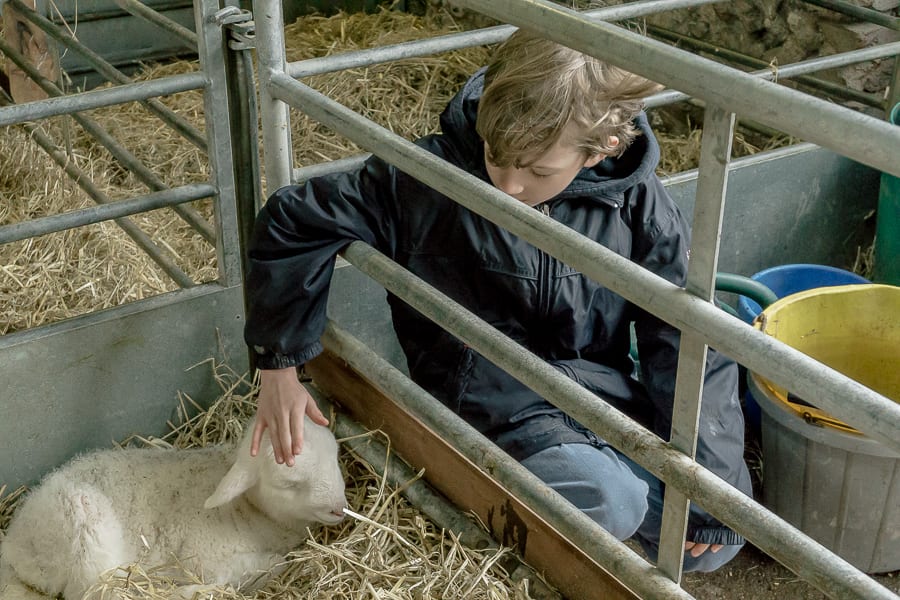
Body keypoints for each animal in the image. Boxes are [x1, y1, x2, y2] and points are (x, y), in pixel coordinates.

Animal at [0, 418, 348, 600]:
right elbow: (272, 565)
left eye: (336, 456)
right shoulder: (205, 557)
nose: (339, 509)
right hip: (81, 525)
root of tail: (14, 545)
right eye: (288, 483)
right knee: (98, 592)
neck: (250, 511)